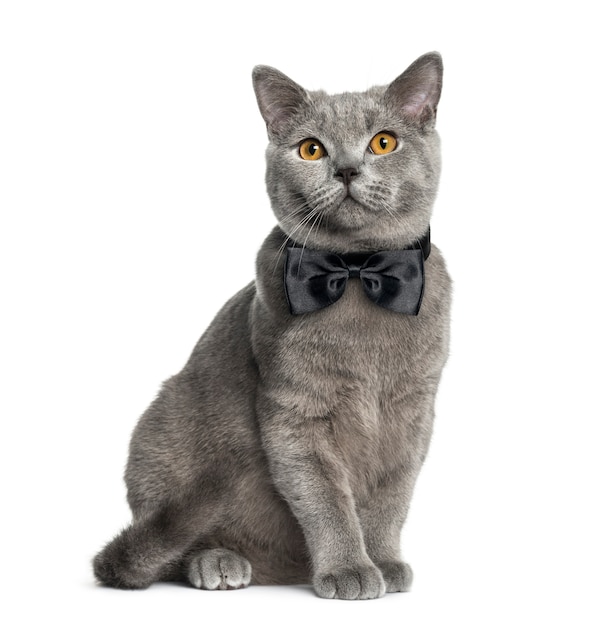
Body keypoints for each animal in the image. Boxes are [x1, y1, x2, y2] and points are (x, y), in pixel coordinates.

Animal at [93, 51, 448, 596]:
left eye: (383, 142)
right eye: (311, 150)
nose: (346, 169)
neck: (355, 272)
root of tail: (278, 571)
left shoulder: (413, 413)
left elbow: (391, 497)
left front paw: (384, 562)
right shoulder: (294, 414)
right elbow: (327, 501)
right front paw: (348, 569)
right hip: (162, 431)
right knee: (171, 546)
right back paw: (219, 562)